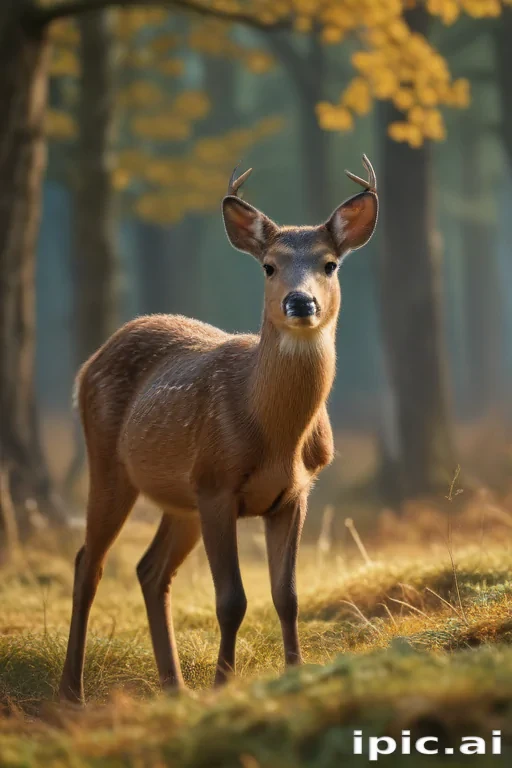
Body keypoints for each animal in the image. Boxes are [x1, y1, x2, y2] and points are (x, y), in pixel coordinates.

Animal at [59, 156, 378, 704]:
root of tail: (89, 363)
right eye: (268, 265)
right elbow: (232, 599)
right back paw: (71, 692)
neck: (275, 436)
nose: (300, 303)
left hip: (178, 500)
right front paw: (223, 682)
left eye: (329, 264)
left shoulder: (295, 493)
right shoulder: (215, 484)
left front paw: (294, 673)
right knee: (89, 563)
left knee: (149, 570)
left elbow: (287, 595)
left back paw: (173, 686)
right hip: (110, 464)